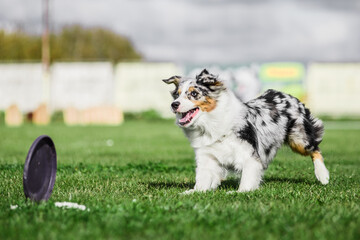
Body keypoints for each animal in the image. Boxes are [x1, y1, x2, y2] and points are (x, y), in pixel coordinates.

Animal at [163, 69, 330, 193]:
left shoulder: (250, 156)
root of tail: (288, 95)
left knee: (316, 149)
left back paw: (323, 175)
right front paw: (194, 192)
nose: (174, 104)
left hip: (299, 139)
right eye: (177, 94)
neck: (210, 124)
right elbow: (202, 178)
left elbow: (247, 179)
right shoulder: (206, 156)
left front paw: (240, 192)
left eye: (194, 94)